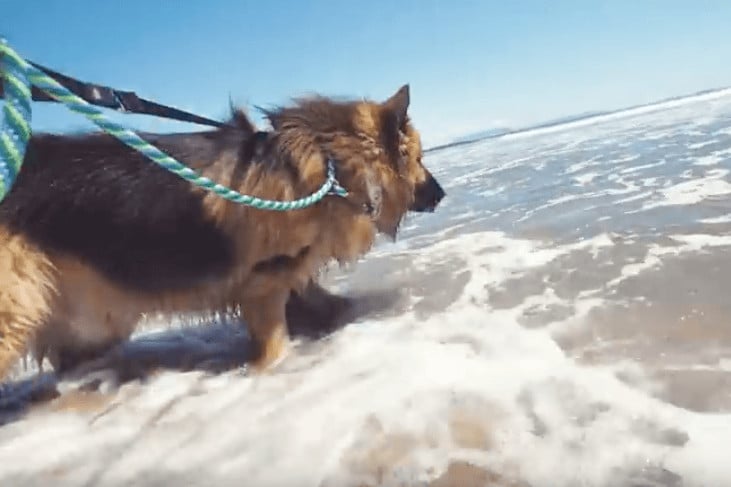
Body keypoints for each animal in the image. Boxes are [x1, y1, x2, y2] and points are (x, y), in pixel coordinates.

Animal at [0, 85, 446, 382]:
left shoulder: (284, 270)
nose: (442, 194)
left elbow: (314, 294)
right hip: (19, 312)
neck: (329, 161)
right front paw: (268, 369)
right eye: (420, 158)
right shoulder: (263, 282)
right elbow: (273, 337)